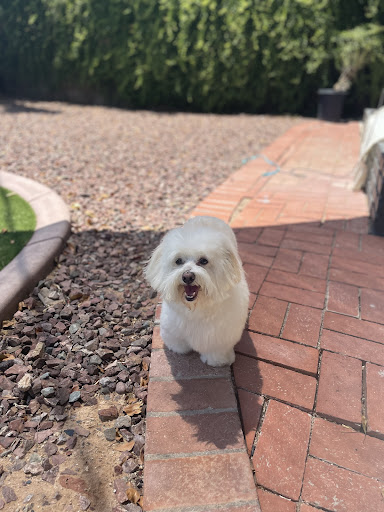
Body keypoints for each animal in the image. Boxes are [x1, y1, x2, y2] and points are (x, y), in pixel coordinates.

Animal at [146, 214, 250, 366]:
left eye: (204, 261)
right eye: (178, 261)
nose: (187, 276)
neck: (195, 309)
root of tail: (206, 216)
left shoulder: (220, 339)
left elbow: (216, 351)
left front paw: (217, 361)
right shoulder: (173, 330)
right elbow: (178, 343)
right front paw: (178, 349)